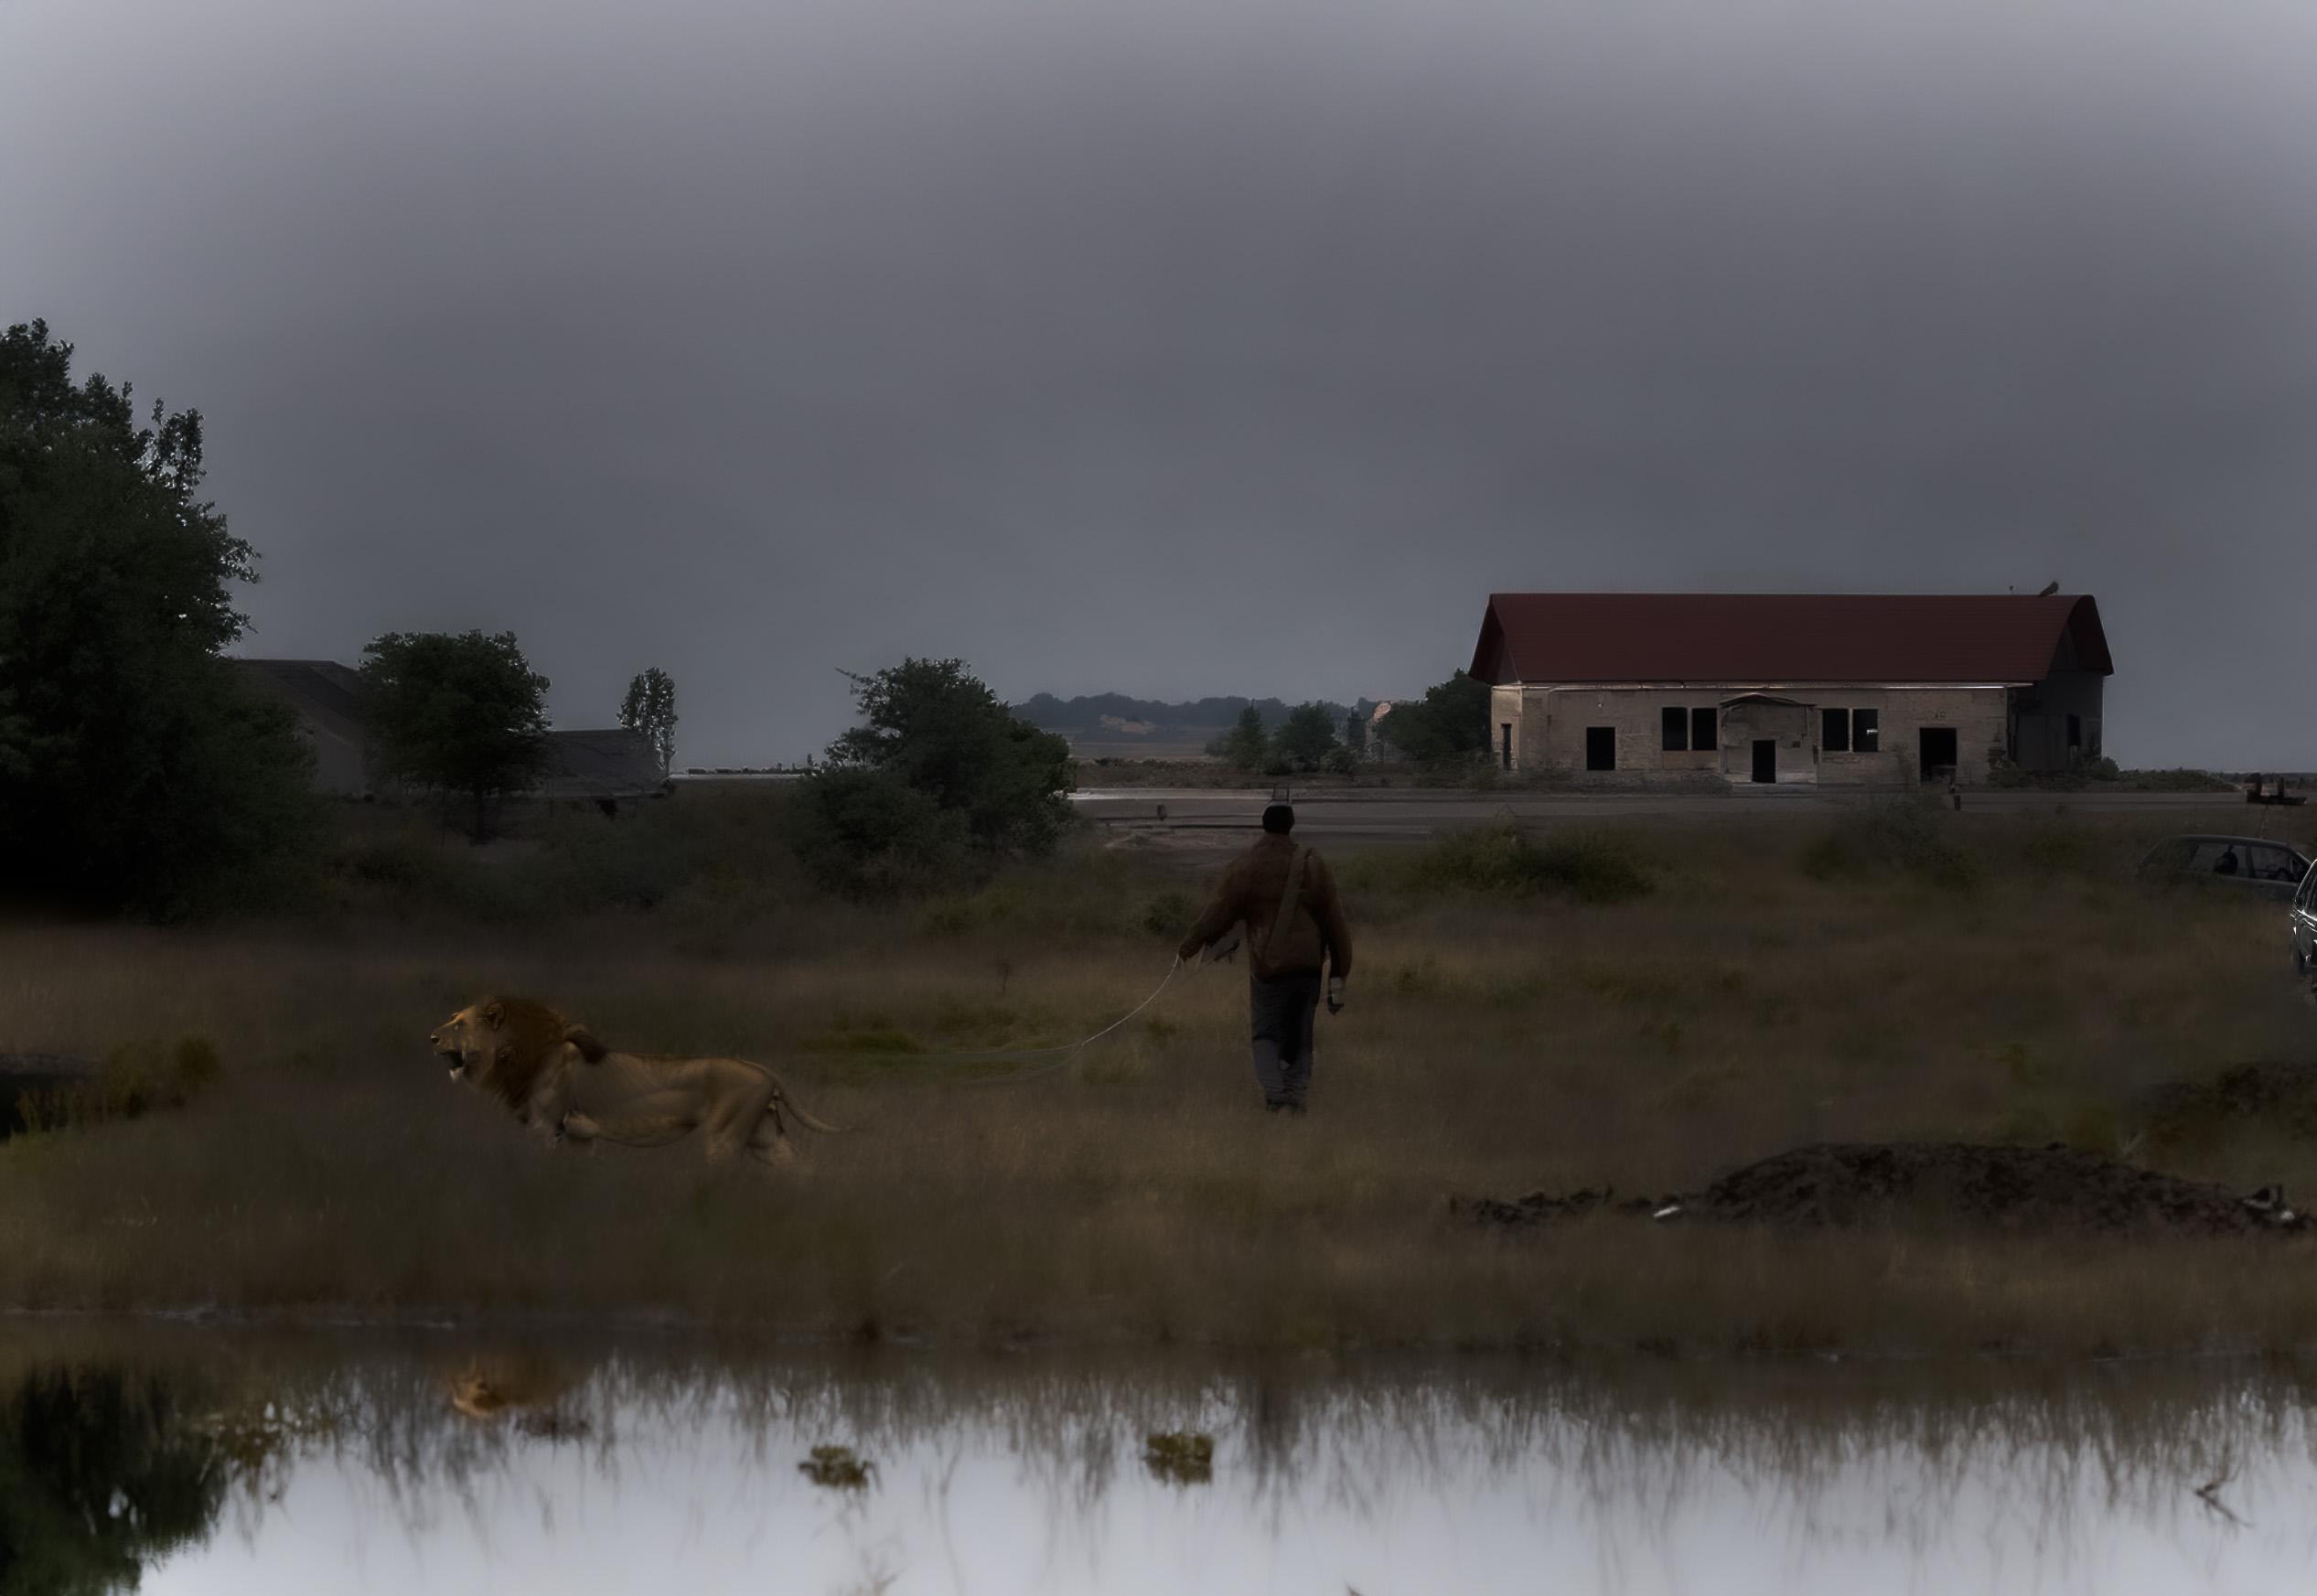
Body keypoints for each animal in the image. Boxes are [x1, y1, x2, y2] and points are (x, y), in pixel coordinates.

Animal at [428, 996, 843, 1158]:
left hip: (725, 1137)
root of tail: (763, 1068)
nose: (431, 1037)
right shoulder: (577, 1134)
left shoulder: (545, 1125)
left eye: (459, 1024)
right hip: (764, 1136)